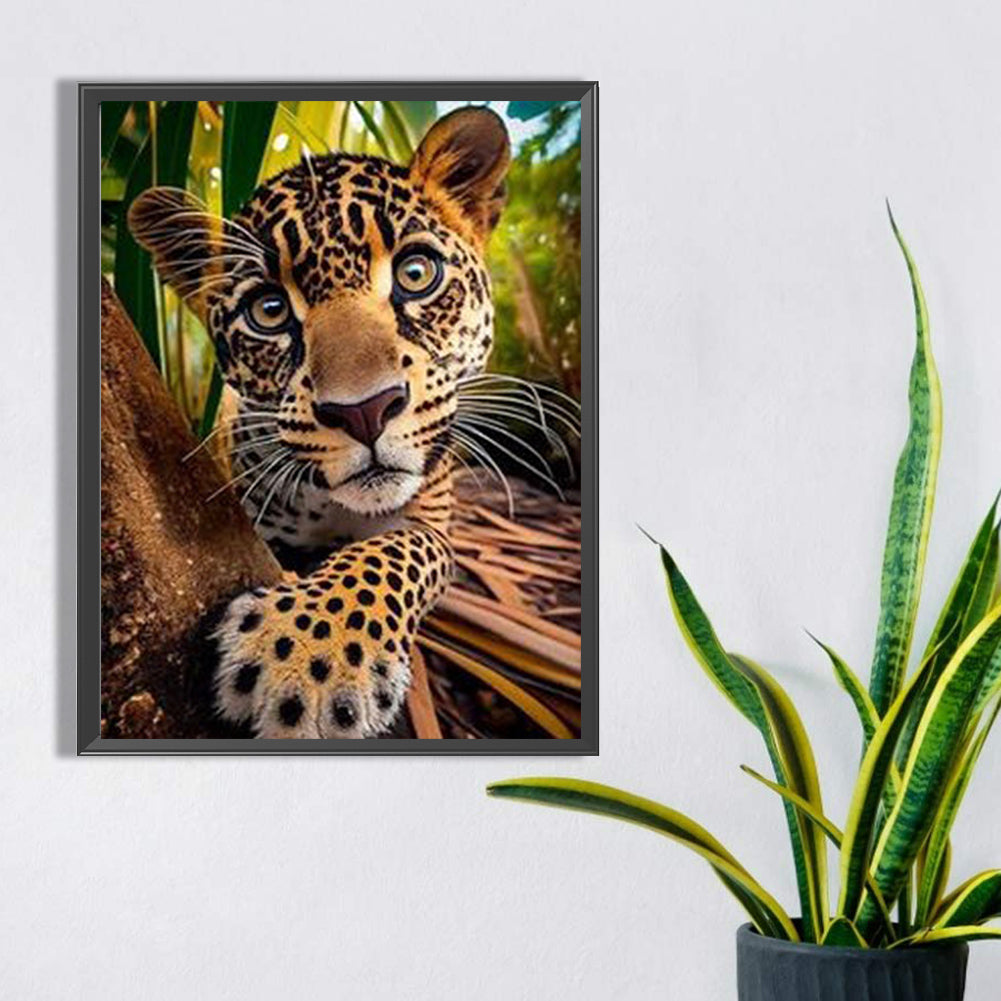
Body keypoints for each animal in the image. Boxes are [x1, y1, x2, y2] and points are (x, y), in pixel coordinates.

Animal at [128, 107, 514, 738]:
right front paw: (310, 649)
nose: (364, 410)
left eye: (416, 273)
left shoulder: (432, 520)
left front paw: (312, 649)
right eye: (268, 310)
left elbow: (400, 548)